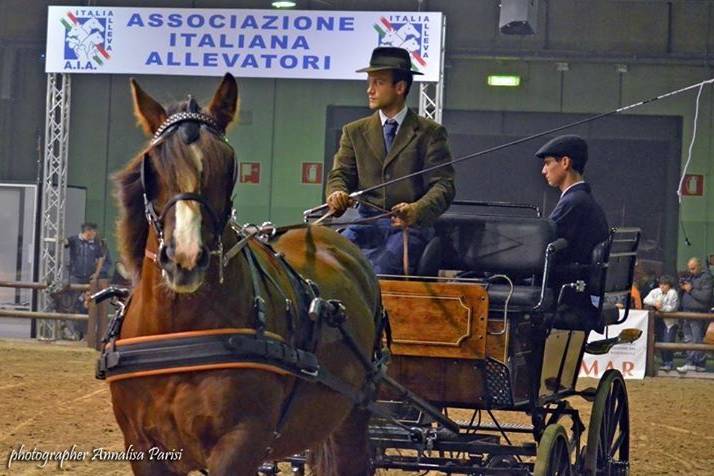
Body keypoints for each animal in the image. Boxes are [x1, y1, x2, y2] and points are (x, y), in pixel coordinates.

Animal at [110, 72, 378, 474]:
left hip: (353, 413)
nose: (185, 258)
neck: (180, 332)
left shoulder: (241, 441)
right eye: (151, 166)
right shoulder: (143, 449)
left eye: (228, 165)